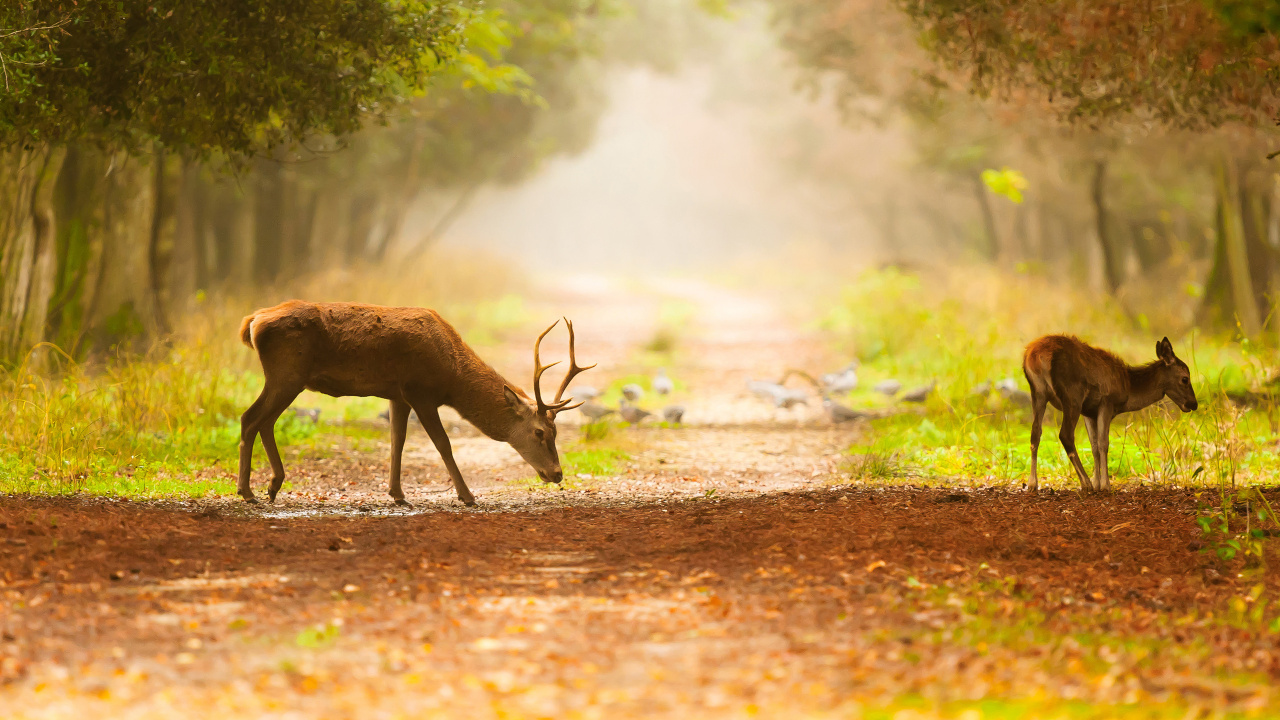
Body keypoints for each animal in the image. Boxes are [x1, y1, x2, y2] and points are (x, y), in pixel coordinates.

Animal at [236, 300, 593, 507]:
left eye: (558, 433)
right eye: (539, 432)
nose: (557, 473)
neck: (452, 376)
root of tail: (252, 321)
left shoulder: (398, 394)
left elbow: (398, 440)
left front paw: (398, 495)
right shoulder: (420, 391)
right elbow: (443, 443)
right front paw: (467, 496)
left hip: (286, 377)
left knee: (263, 420)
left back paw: (272, 486)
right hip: (287, 372)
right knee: (250, 418)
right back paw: (249, 491)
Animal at [1023, 335, 1197, 493]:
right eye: (1185, 378)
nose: (1193, 404)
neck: (1128, 387)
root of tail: (1035, 356)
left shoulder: (1089, 412)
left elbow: (1093, 445)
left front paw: (1097, 482)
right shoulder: (1107, 403)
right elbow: (1103, 444)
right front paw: (1105, 485)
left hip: (1038, 392)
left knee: (1035, 432)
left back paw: (1032, 484)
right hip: (1072, 395)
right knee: (1065, 434)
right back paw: (1085, 483)